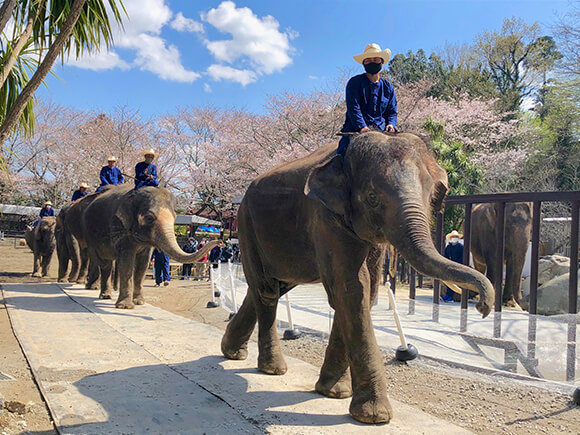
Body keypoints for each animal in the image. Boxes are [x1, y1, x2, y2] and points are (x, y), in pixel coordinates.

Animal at [84, 186, 222, 308]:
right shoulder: (119, 226)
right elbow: (127, 262)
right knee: (104, 263)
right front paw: (125, 307)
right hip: (91, 237)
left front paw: (139, 302)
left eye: (175, 218)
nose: (220, 242)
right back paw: (105, 296)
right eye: (149, 218)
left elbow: (143, 263)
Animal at [219, 131, 494, 424]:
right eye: (372, 197)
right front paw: (374, 415)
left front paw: (333, 393)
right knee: (267, 290)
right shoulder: (324, 216)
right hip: (246, 226)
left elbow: (365, 289)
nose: (483, 307)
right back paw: (272, 368)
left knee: (271, 286)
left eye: (431, 196)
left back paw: (232, 352)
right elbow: (351, 288)